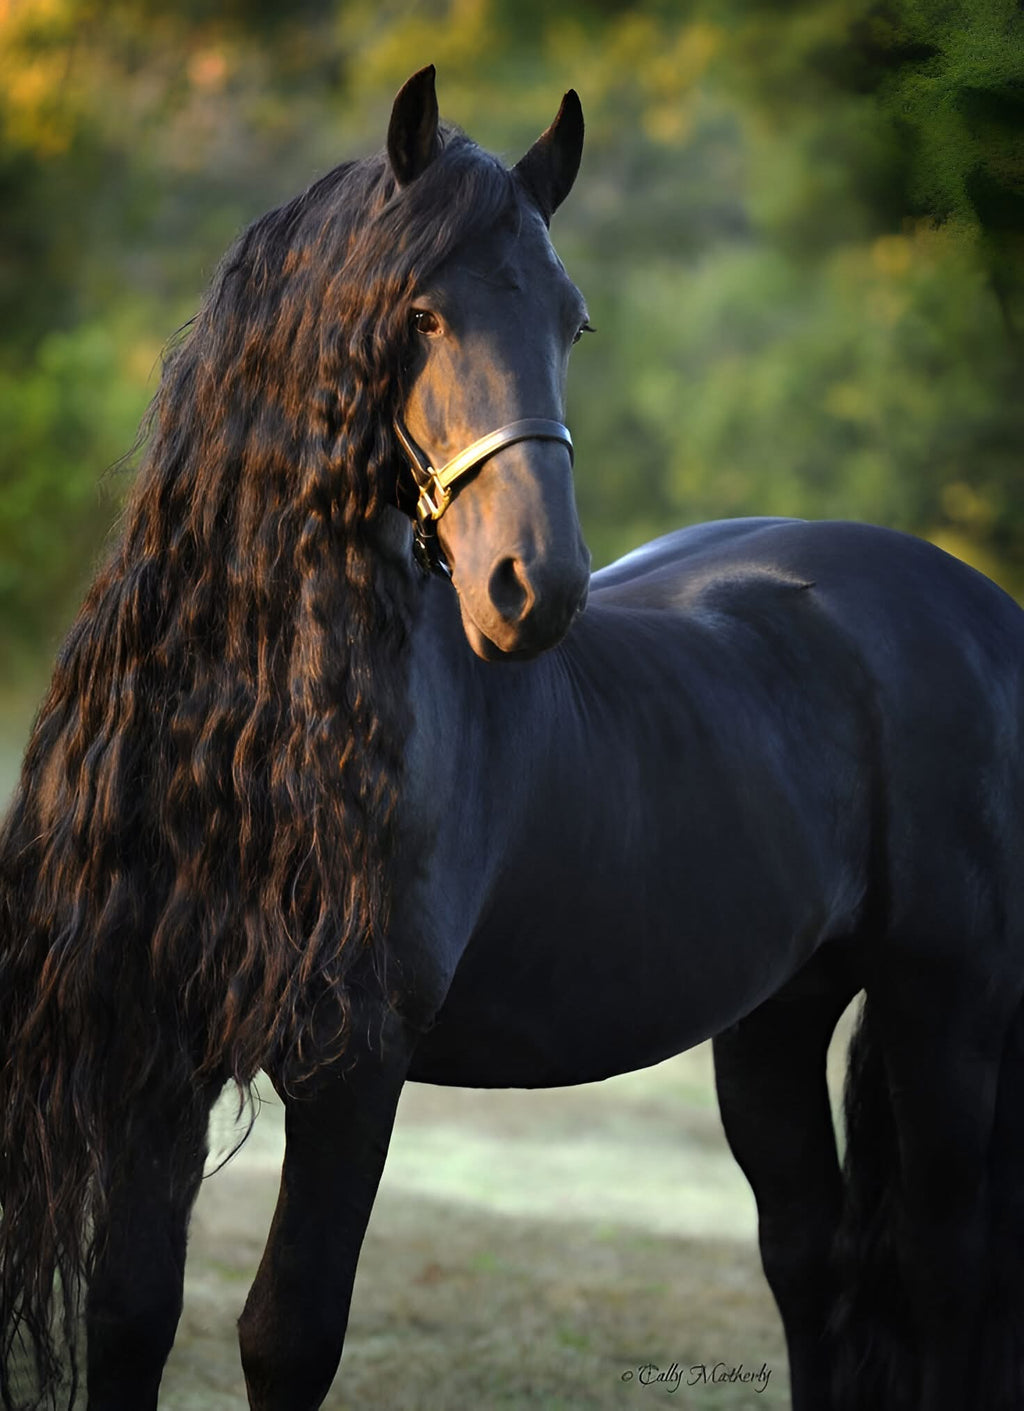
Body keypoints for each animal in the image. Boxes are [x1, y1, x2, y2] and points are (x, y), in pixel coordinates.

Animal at [1, 61, 1023, 1411]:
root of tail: (981, 608)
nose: (534, 587)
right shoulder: (152, 1054)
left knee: (951, 1269)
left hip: (946, 1004)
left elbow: (288, 1334)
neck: (253, 738)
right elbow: (129, 1315)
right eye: (420, 315)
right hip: (779, 1015)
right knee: (812, 1258)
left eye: (572, 324)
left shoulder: (352, 1070)